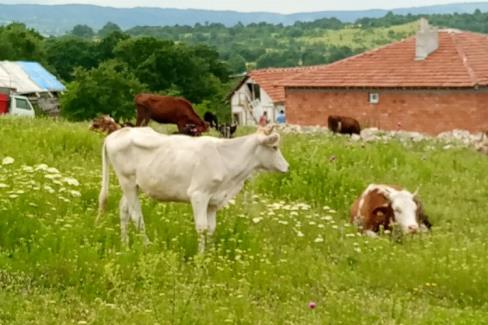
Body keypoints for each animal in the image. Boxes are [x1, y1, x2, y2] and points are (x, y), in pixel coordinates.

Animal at [98, 123, 290, 251]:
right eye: (274, 147)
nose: (286, 167)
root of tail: (117, 133)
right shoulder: (198, 195)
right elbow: (202, 228)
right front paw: (201, 258)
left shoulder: (214, 200)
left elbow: (211, 229)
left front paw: (211, 254)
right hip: (127, 181)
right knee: (136, 215)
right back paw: (147, 245)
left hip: (134, 185)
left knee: (124, 210)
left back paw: (124, 245)